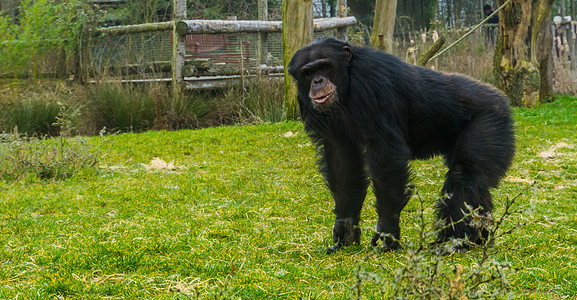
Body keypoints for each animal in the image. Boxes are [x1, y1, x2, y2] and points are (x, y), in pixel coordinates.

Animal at [286, 37, 512, 253]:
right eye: (308, 72)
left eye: (324, 66)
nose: (317, 81)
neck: (346, 81)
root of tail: (500, 97)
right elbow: (342, 159)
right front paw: (346, 228)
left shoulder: (371, 82)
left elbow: (385, 154)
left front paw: (387, 230)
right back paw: (476, 238)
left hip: (489, 121)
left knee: (466, 175)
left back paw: (456, 242)